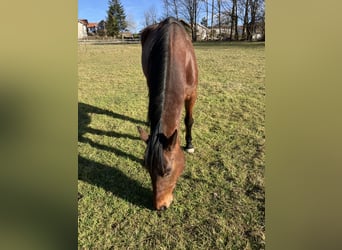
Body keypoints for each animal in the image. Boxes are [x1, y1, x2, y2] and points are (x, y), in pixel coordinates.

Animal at [138, 16, 199, 210]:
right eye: (146, 168)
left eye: (166, 171)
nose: (160, 207)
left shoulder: (192, 94)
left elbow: (188, 120)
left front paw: (189, 144)